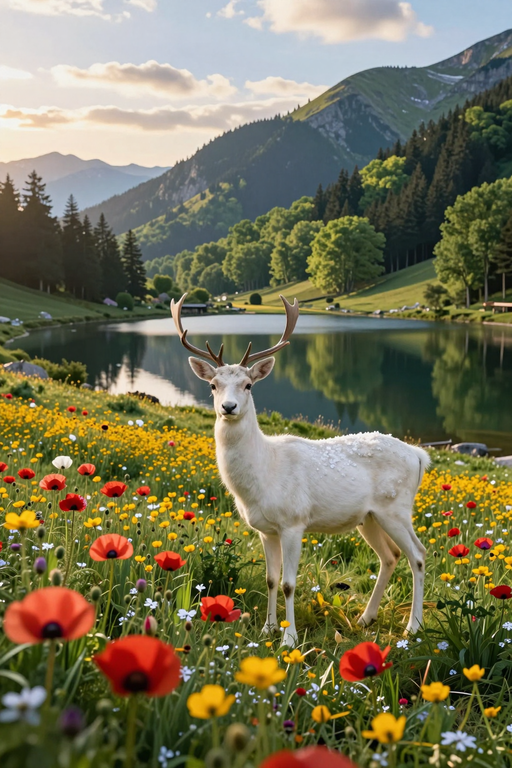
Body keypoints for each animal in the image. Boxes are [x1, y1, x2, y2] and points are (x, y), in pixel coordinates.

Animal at [171, 293, 429, 646]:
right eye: (212, 385)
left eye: (248, 385)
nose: (228, 407)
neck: (262, 477)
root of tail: (418, 455)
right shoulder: (264, 529)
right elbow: (270, 579)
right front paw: (267, 628)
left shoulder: (294, 522)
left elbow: (289, 583)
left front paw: (289, 639)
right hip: (369, 516)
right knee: (389, 556)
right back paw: (365, 618)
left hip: (397, 508)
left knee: (418, 555)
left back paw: (413, 627)